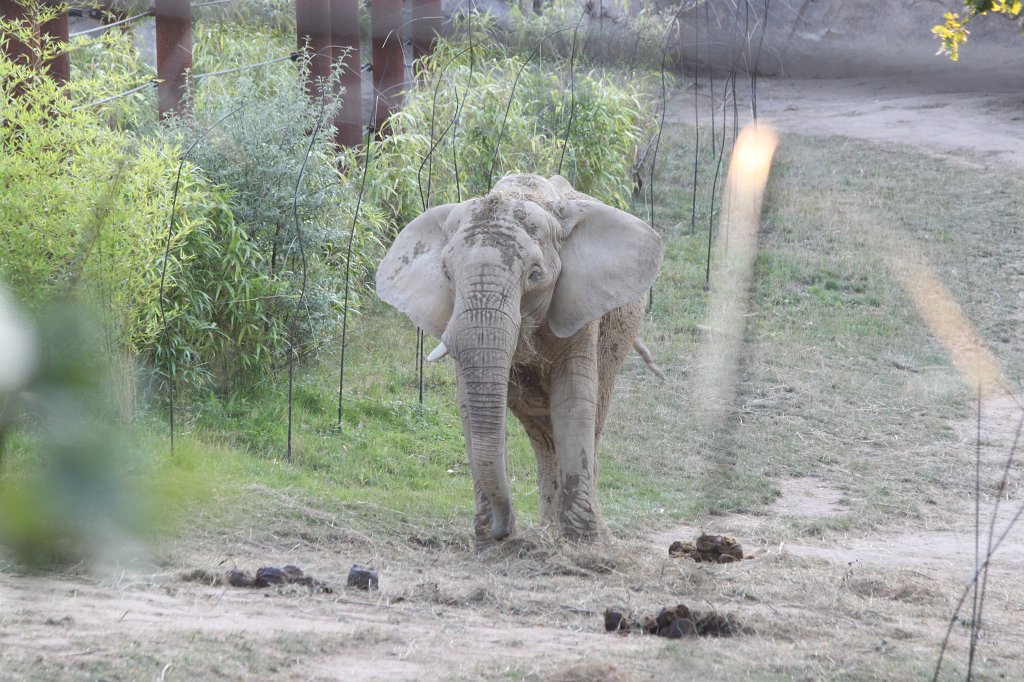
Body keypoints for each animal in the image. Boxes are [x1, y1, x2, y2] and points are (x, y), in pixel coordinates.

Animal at [376, 174, 663, 549]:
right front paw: (488, 543)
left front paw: (584, 546)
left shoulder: (580, 307)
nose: (504, 530)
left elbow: (573, 400)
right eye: (446, 274)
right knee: (540, 433)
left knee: (589, 419)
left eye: (535, 274)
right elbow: (468, 405)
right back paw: (547, 532)